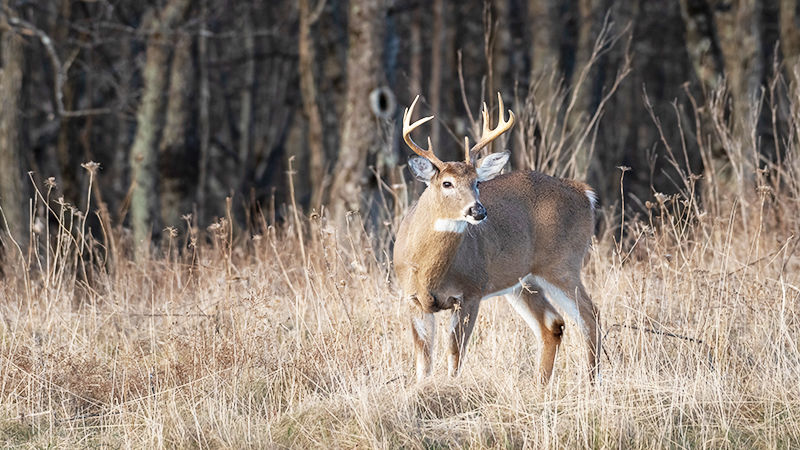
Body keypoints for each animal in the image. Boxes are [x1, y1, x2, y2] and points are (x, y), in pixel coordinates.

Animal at [394, 94, 600, 384]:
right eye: (447, 183)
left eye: (477, 182)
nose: (478, 211)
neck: (428, 269)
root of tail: (585, 193)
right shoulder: (412, 298)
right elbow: (423, 361)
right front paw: (422, 390)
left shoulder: (471, 291)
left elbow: (455, 353)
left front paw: (451, 388)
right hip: (523, 282)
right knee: (553, 323)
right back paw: (541, 384)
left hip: (562, 264)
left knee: (590, 315)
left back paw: (593, 382)